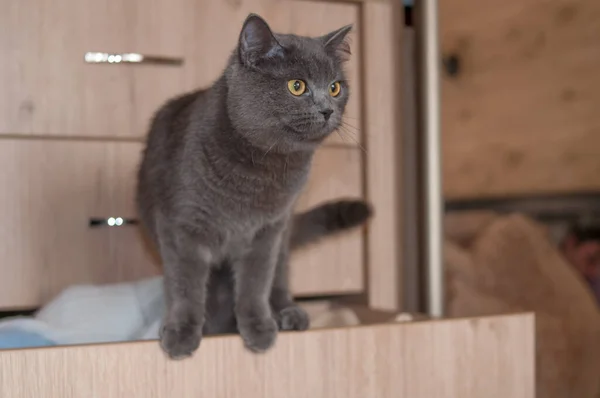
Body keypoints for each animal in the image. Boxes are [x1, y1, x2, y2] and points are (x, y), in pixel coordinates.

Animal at [135, 14, 356, 360]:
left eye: (335, 88)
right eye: (297, 86)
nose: (327, 109)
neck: (263, 170)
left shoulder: (267, 231)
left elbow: (255, 283)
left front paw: (258, 327)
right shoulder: (181, 226)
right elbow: (185, 284)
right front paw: (183, 332)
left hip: (284, 235)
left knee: (279, 278)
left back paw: (288, 313)